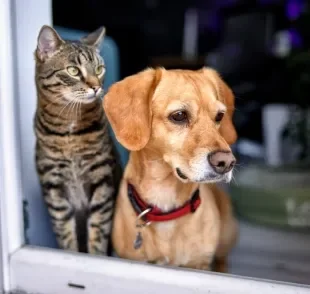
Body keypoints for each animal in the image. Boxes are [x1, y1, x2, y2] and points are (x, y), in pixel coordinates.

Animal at [34, 25, 121, 255]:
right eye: (73, 71)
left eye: (99, 69)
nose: (96, 87)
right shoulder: (54, 185)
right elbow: (65, 233)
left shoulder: (102, 179)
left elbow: (98, 230)